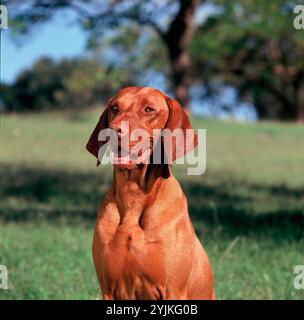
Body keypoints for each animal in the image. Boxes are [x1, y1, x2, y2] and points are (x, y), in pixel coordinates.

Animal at [85, 85, 215, 300]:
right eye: (114, 108)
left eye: (148, 109)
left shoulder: (173, 290)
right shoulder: (108, 289)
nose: (113, 129)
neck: (134, 195)